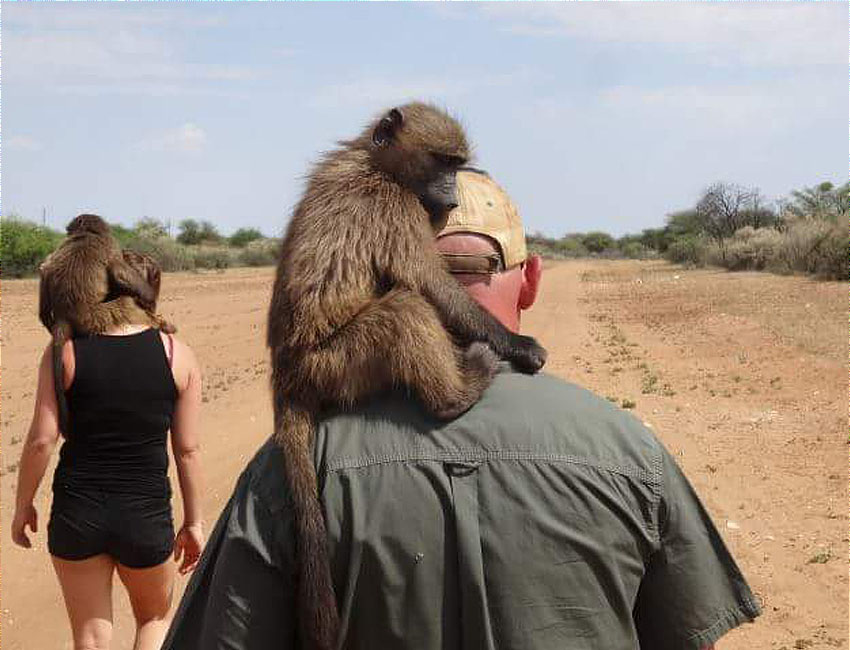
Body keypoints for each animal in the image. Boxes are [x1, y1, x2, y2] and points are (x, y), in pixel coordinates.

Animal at [38, 214, 162, 435]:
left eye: (70, 229)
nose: (67, 230)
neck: (88, 233)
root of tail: (64, 315)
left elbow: (45, 268)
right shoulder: (112, 248)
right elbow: (118, 272)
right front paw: (149, 298)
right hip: (100, 317)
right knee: (125, 302)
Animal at [267, 102, 547, 650]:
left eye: (455, 163)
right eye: (440, 161)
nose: (452, 192)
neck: (375, 163)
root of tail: (285, 375)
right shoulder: (394, 206)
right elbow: (431, 284)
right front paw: (520, 345)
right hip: (334, 364)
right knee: (405, 307)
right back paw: (457, 393)